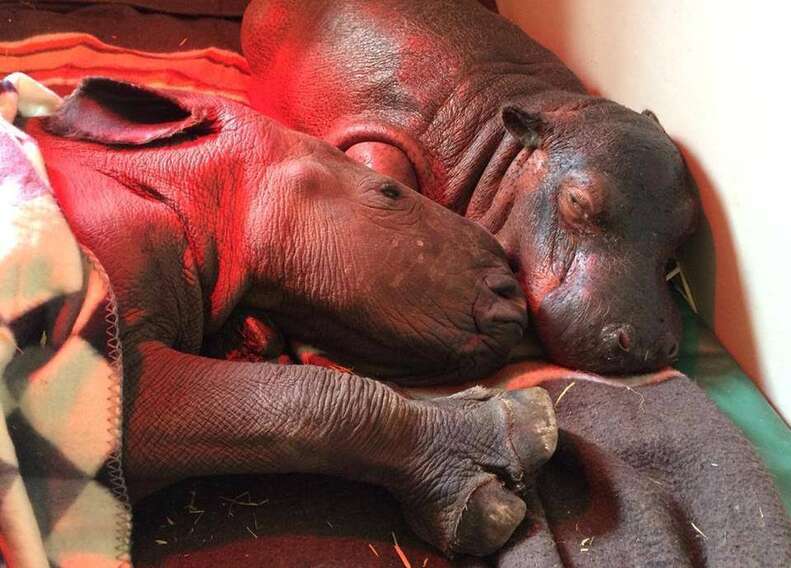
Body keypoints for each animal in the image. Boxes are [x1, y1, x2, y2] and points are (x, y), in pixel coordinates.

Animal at [18, 77, 558, 557]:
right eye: (389, 192)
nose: (512, 293)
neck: (170, 185)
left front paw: (255, 339)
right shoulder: (94, 384)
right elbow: (304, 402)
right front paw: (519, 429)